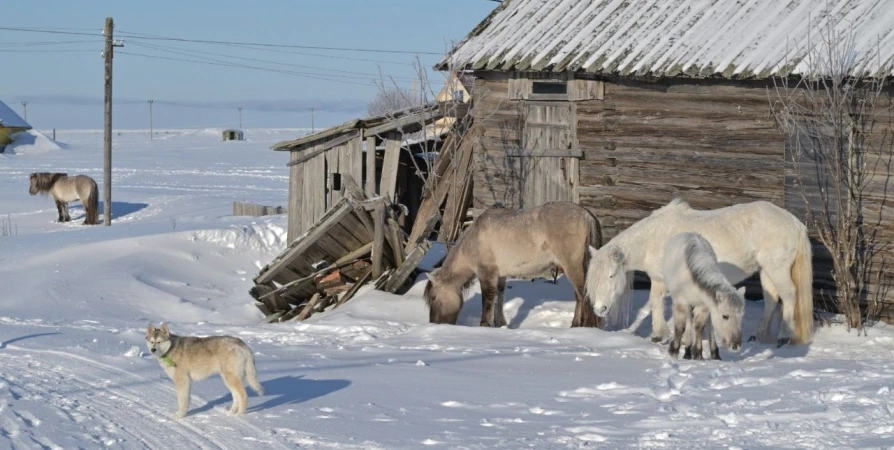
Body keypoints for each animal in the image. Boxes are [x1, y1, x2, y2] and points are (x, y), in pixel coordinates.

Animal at [424, 202, 604, 328]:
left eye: (433, 298)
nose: (434, 324)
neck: (474, 238)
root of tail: (586, 214)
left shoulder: (486, 273)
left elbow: (488, 299)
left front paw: (485, 324)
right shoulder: (500, 275)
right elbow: (500, 297)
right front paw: (500, 324)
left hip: (572, 267)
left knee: (582, 294)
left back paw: (581, 325)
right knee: (579, 296)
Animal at [584, 199, 816, 346]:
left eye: (611, 275)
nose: (600, 309)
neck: (655, 238)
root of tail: (795, 223)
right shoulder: (659, 280)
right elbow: (655, 302)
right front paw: (659, 335)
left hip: (777, 269)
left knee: (789, 296)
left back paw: (784, 336)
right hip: (765, 271)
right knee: (771, 300)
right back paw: (759, 335)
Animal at [664, 230, 748, 360]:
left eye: (741, 316)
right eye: (725, 316)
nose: (736, 346)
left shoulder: (704, 306)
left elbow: (699, 327)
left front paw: (698, 354)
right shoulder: (681, 303)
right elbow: (680, 327)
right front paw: (673, 352)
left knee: (707, 325)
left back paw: (712, 353)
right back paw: (687, 351)